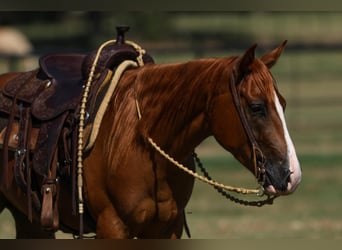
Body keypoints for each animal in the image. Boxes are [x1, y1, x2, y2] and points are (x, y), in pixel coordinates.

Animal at [0, 41, 300, 238]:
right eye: (256, 107)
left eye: (283, 104)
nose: (291, 175)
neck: (141, 143)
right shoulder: (112, 227)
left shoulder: (167, 229)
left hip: (30, 220)